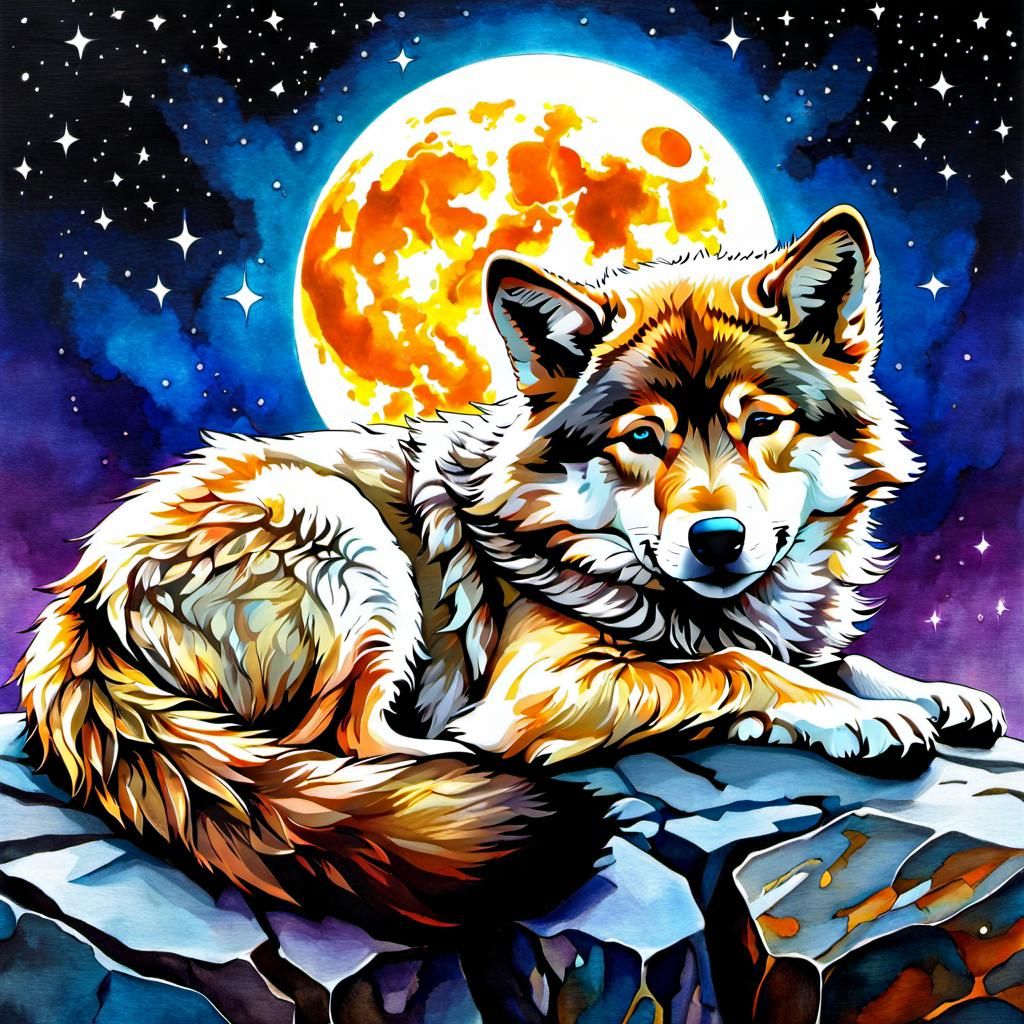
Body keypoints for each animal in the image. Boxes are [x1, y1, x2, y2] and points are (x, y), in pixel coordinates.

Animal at [14, 205, 1005, 929]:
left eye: (762, 423)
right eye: (642, 440)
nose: (718, 539)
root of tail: (83, 590)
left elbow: (834, 657)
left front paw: (932, 695)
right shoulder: (546, 682)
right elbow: (735, 666)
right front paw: (858, 718)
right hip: (350, 545)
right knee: (344, 746)